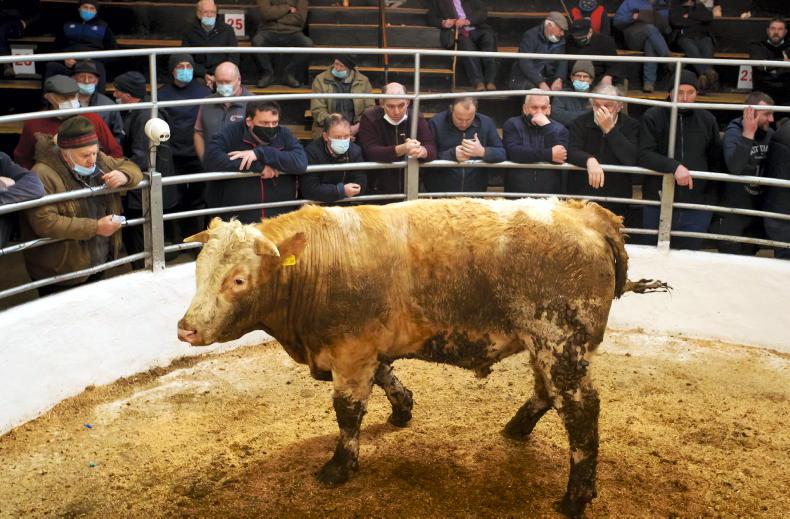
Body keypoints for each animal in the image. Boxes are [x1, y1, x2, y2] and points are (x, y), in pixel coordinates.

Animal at [177, 197, 666, 517]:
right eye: (199, 270)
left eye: (239, 280)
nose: (187, 327)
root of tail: (586, 214)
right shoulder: (368, 347)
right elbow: (386, 375)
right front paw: (403, 409)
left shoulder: (351, 351)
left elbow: (347, 410)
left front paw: (339, 467)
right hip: (546, 344)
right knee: (547, 392)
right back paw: (516, 428)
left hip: (560, 341)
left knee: (580, 412)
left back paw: (575, 496)